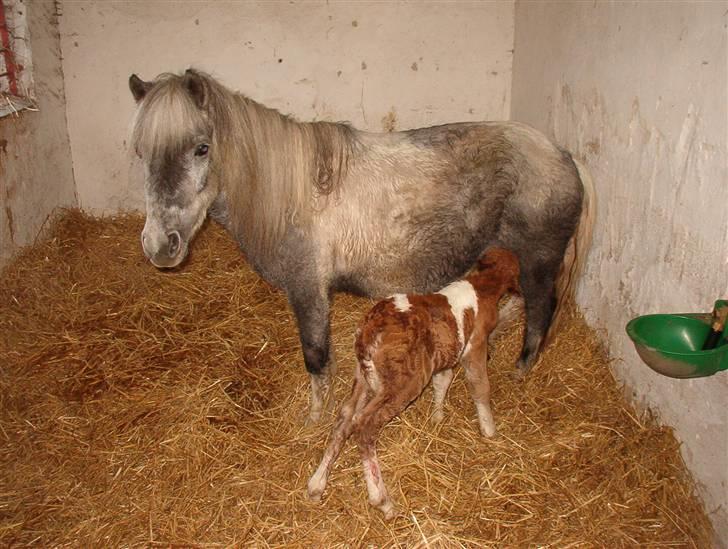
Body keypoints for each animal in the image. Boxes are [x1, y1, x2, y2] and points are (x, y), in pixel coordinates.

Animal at [131, 68, 596, 420]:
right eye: (141, 153)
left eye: (201, 148)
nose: (159, 245)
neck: (292, 195)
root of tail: (562, 155)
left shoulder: (309, 292)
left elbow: (316, 358)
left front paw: (315, 418)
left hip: (538, 262)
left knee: (540, 311)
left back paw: (521, 370)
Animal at [306, 247, 516, 520]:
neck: (482, 285)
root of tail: (369, 331)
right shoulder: (475, 347)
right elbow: (480, 386)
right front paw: (490, 431)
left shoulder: (447, 354)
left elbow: (442, 381)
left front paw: (437, 416)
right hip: (403, 383)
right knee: (365, 425)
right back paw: (382, 500)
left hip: (363, 378)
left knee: (345, 418)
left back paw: (316, 484)